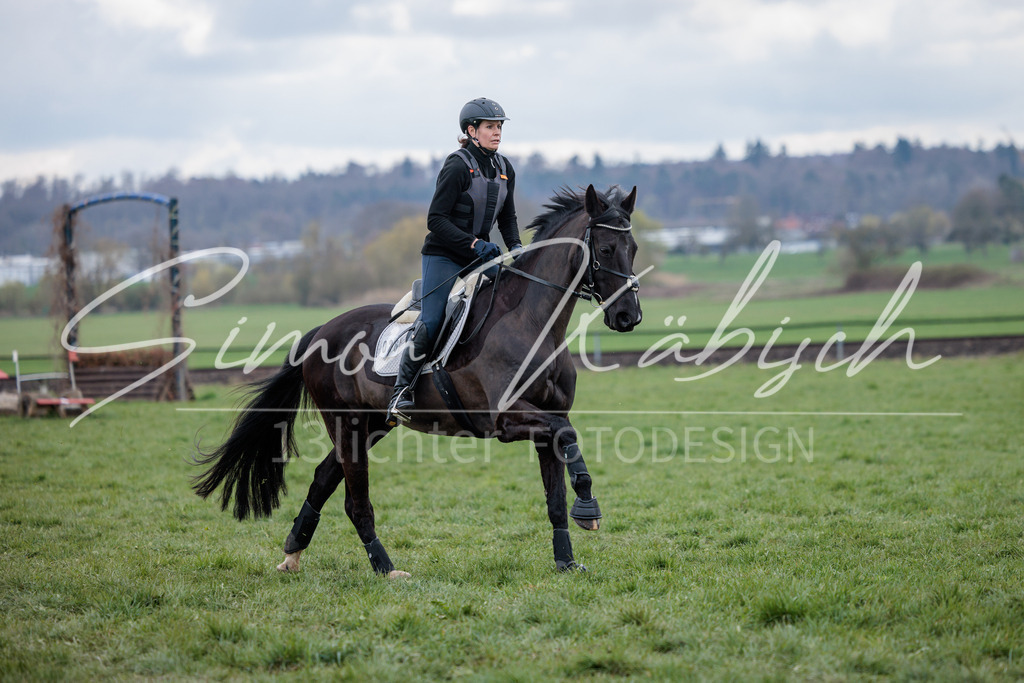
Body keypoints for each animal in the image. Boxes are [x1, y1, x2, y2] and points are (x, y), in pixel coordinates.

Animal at [193, 184, 643, 577]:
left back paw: (292, 556)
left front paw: (566, 560)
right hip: (347, 424)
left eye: (634, 249)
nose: (629, 317)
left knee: (322, 480)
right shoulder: (506, 419)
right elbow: (567, 433)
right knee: (356, 503)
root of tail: (322, 330)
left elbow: (555, 493)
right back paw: (385, 568)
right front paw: (589, 505)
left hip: (372, 426)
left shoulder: (542, 423)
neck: (533, 323)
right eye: (605, 250)